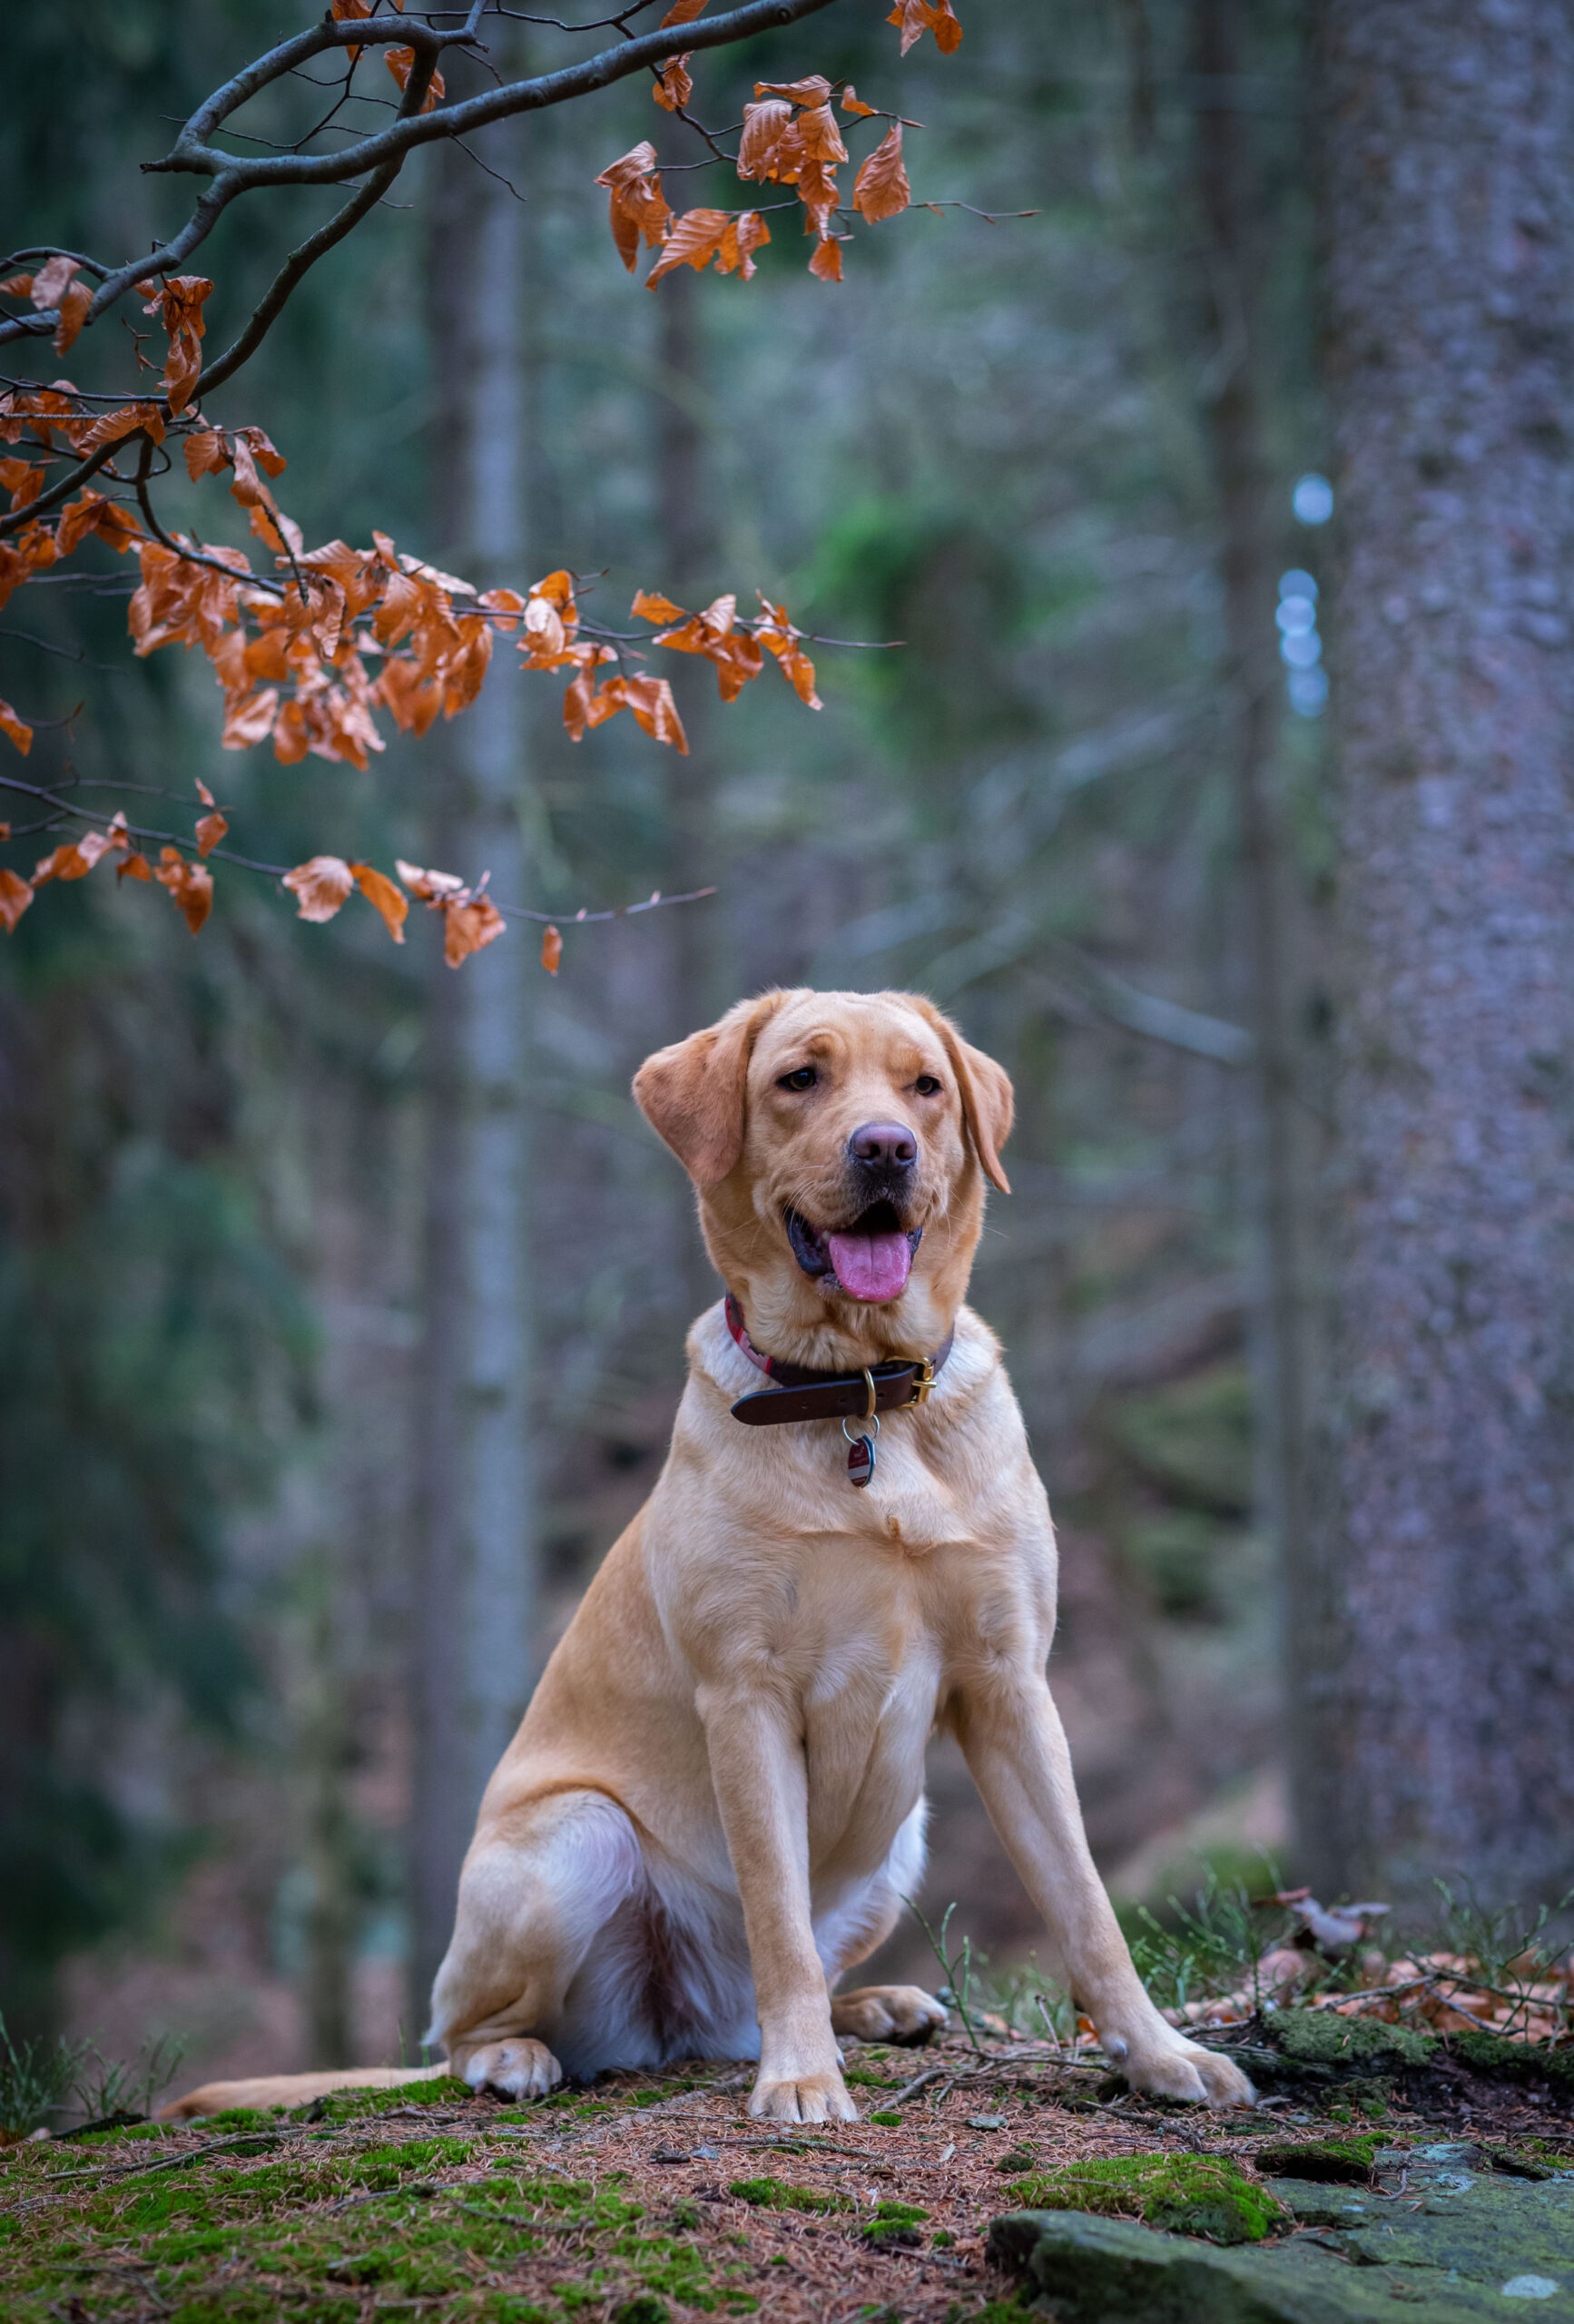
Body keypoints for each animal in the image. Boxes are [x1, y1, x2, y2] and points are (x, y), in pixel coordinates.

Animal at [166, 990, 1255, 2119]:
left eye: (925, 1086)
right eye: (799, 1079)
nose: (887, 1148)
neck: (860, 1398)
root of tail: (677, 2025)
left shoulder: (1010, 1685)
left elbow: (1086, 1902)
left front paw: (1160, 2052)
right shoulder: (747, 1694)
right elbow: (777, 1912)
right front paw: (804, 2079)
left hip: (901, 1839)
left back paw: (877, 2006)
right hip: (575, 1840)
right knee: (469, 2027)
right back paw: (522, 2056)